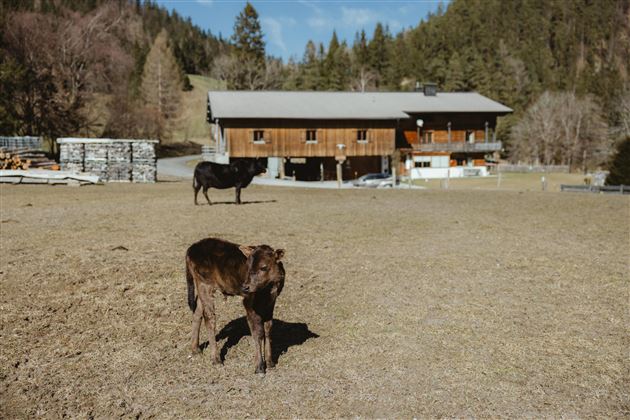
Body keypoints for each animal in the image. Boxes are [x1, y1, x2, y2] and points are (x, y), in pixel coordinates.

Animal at [185, 238, 286, 372]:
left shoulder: (272, 301)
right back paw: (216, 359)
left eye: (263, 267)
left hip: (201, 284)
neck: (267, 289)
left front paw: (270, 363)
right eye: (247, 266)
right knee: (209, 317)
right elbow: (258, 332)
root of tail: (190, 249)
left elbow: (268, 328)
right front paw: (259, 367)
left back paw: (195, 349)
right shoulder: (248, 301)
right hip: (204, 283)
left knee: (197, 312)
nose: (245, 287)